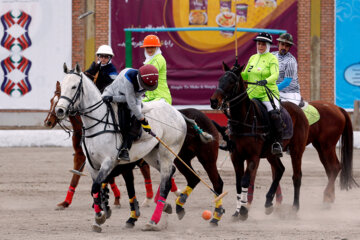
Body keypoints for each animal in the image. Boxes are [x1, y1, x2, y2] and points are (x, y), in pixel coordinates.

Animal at [54, 63, 187, 231]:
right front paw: (99, 217)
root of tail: (178, 113)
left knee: (165, 182)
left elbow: (96, 187)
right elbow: (96, 189)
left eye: (73, 86)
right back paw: (170, 207)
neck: (96, 122)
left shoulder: (108, 161)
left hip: (167, 153)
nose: (59, 110)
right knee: (170, 175)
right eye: (61, 86)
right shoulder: (92, 164)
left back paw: (153, 221)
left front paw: (100, 216)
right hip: (151, 154)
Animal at [211, 62, 310, 219]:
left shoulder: (253, 156)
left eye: (232, 81)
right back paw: (268, 202)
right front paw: (237, 211)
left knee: (296, 176)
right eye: (220, 79)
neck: (244, 120)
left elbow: (245, 180)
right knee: (280, 170)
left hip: (296, 150)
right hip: (271, 153)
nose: (214, 101)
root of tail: (298, 109)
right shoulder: (236, 156)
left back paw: (295, 208)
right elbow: (238, 183)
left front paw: (243, 210)